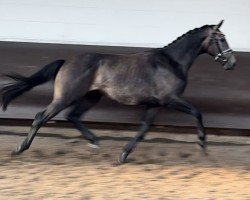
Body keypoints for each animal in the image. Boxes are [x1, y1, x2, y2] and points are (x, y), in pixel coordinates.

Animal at [0, 20, 235, 164]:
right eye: (221, 38)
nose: (232, 63)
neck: (171, 63)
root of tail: (66, 61)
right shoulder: (170, 100)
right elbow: (197, 112)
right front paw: (202, 144)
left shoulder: (154, 104)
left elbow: (143, 129)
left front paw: (123, 154)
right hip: (66, 97)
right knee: (41, 116)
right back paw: (20, 148)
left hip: (91, 96)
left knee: (73, 116)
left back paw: (95, 142)